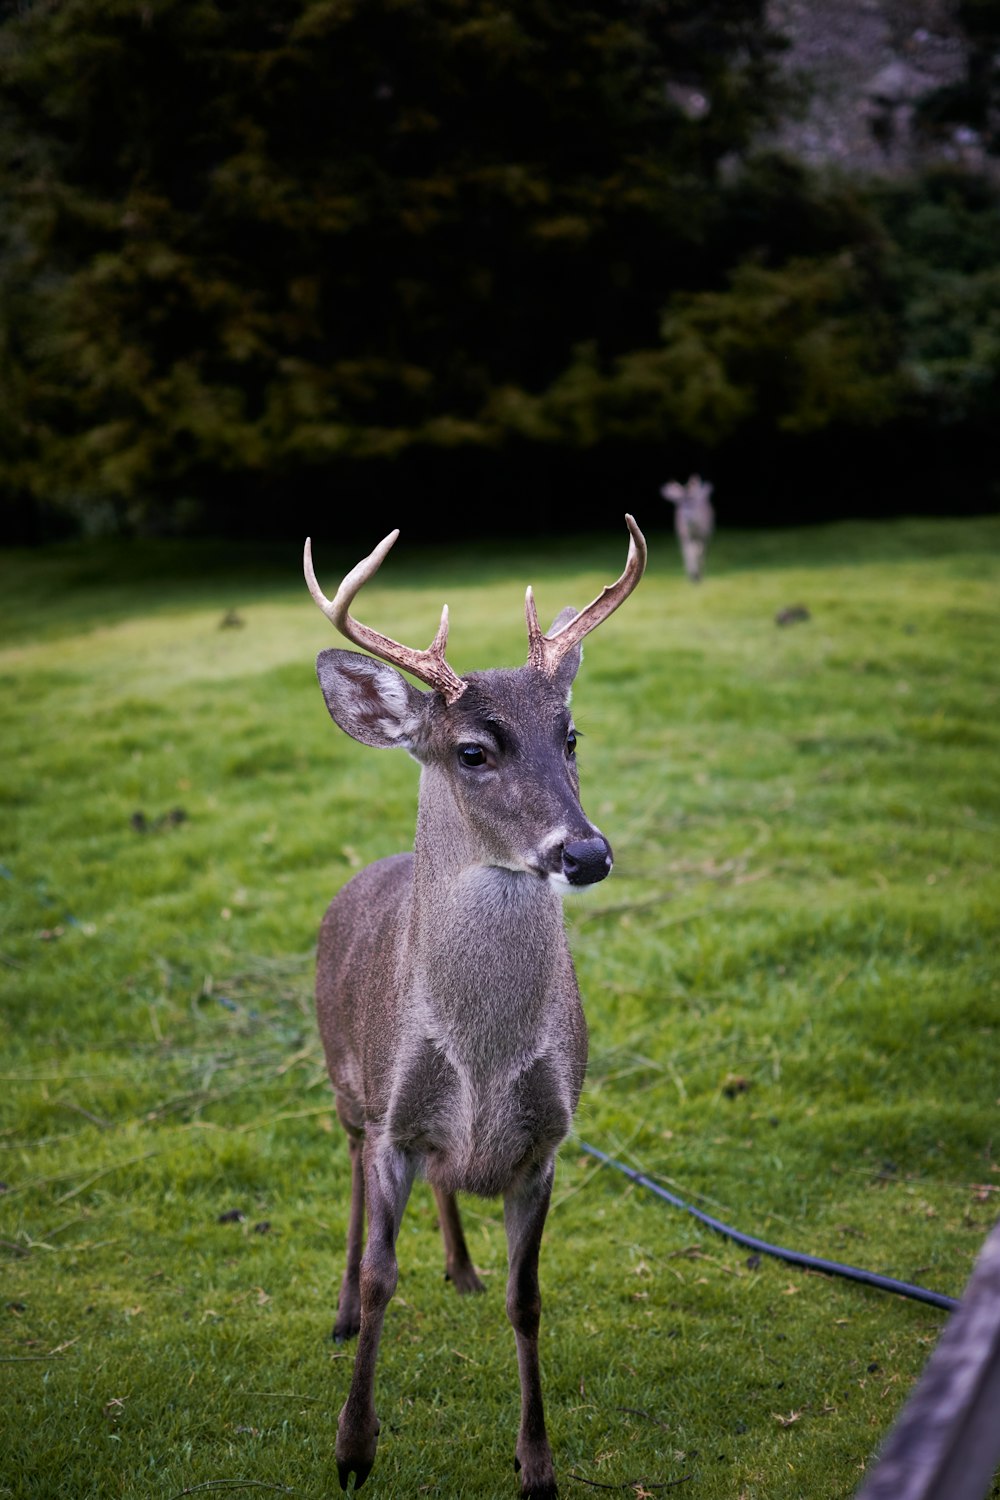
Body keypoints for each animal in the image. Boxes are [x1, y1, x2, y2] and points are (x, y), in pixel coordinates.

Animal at [302, 513, 650, 1488]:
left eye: (571, 736)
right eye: (472, 751)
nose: (587, 853)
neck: (482, 1054)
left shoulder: (546, 1140)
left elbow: (527, 1300)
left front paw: (538, 1462)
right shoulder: (394, 1116)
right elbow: (383, 1276)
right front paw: (353, 1447)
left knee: (448, 1182)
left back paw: (458, 1268)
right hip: (346, 1082)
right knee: (350, 1178)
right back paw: (341, 1311)